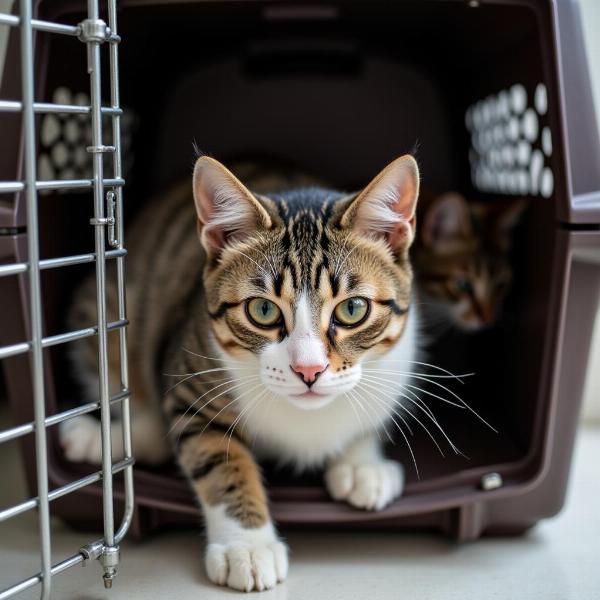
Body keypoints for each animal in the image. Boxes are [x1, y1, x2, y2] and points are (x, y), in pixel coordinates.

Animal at [58, 154, 420, 592]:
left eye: (353, 309)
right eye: (262, 310)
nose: (309, 369)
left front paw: (363, 463)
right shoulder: (194, 382)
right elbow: (219, 459)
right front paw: (246, 546)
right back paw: (94, 438)